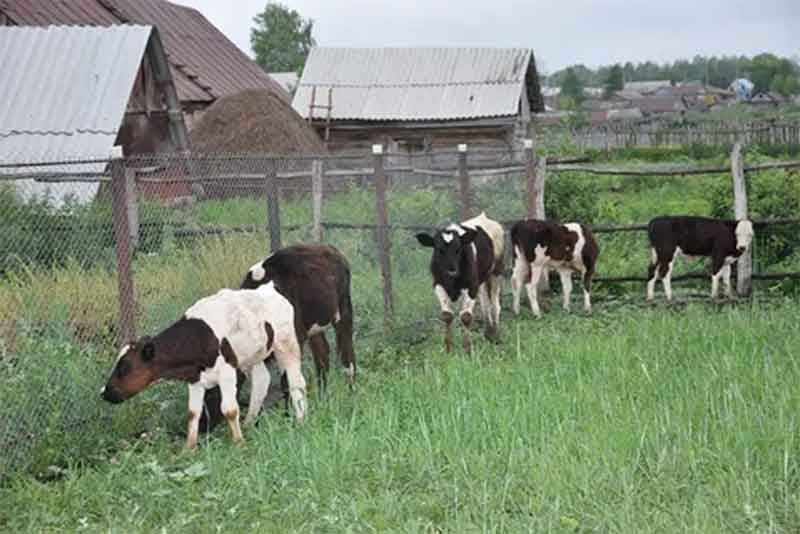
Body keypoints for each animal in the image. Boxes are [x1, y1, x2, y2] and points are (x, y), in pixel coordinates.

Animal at [101, 284, 306, 452]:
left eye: (124, 367)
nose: (104, 392)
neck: (196, 338)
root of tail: (269, 290)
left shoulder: (227, 371)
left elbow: (230, 409)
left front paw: (239, 443)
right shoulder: (195, 379)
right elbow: (193, 413)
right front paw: (189, 448)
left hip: (286, 343)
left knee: (296, 381)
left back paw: (301, 418)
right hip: (252, 356)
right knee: (262, 382)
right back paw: (249, 423)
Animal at [416, 211, 504, 354]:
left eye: (458, 249)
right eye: (439, 249)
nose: (451, 270)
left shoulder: (471, 286)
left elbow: (466, 316)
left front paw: (468, 350)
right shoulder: (438, 284)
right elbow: (447, 315)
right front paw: (449, 349)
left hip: (497, 271)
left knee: (495, 304)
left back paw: (495, 334)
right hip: (481, 279)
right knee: (485, 302)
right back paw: (488, 333)